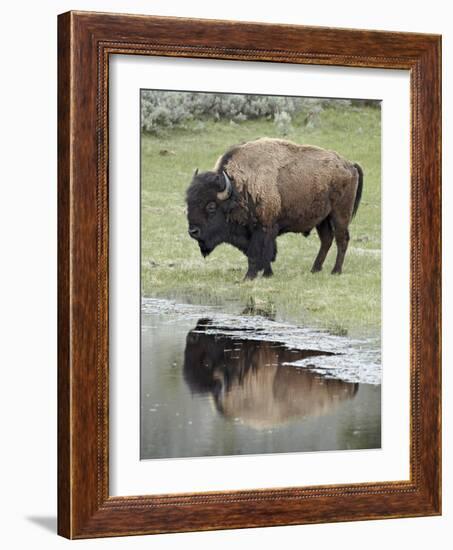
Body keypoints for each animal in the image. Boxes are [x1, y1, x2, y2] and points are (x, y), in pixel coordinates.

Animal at [185, 136, 362, 278]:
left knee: (341, 239)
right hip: (322, 219)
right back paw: (315, 269)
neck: (238, 189)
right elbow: (266, 255)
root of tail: (350, 165)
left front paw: (249, 277)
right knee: (326, 240)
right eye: (189, 203)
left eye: (211, 206)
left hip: (340, 214)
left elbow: (257, 253)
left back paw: (336, 271)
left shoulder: (263, 228)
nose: (193, 231)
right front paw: (267, 274)